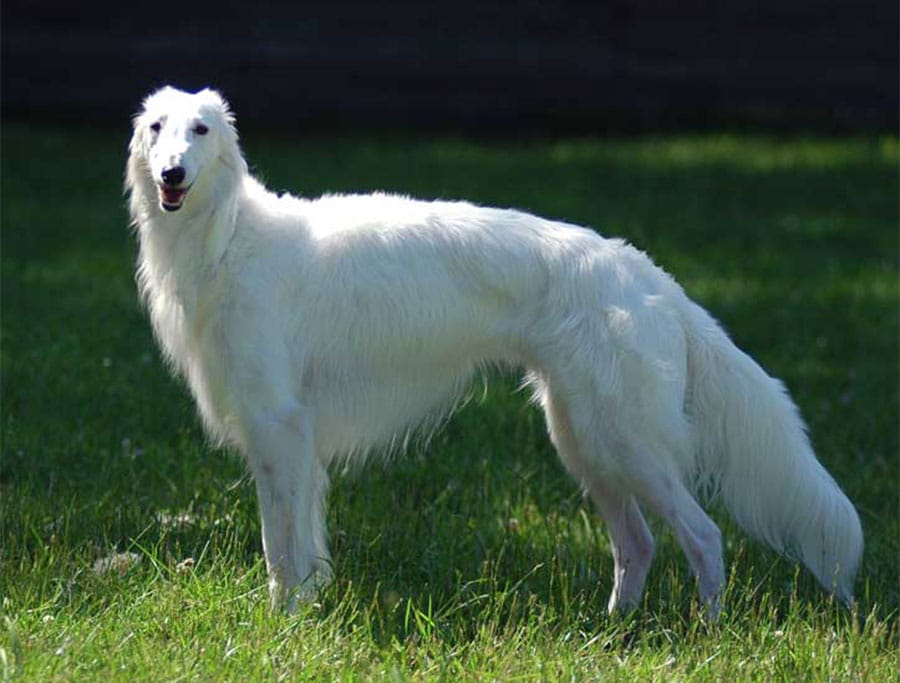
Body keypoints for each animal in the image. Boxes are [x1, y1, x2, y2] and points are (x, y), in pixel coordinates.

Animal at [128, 85, 864, 616]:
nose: (172, 175)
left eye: (201, 130)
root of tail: (650, 277)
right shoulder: (294, 442)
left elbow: (281, 551)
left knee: (703, 536)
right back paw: (612, 631)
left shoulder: (279, 427)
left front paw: (282, 623)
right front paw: (304, 612)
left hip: (625, 439)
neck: (228, 238)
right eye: (157, 127)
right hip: (584, 439)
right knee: (638, 544)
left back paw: (707, 629)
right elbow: (302, 546)